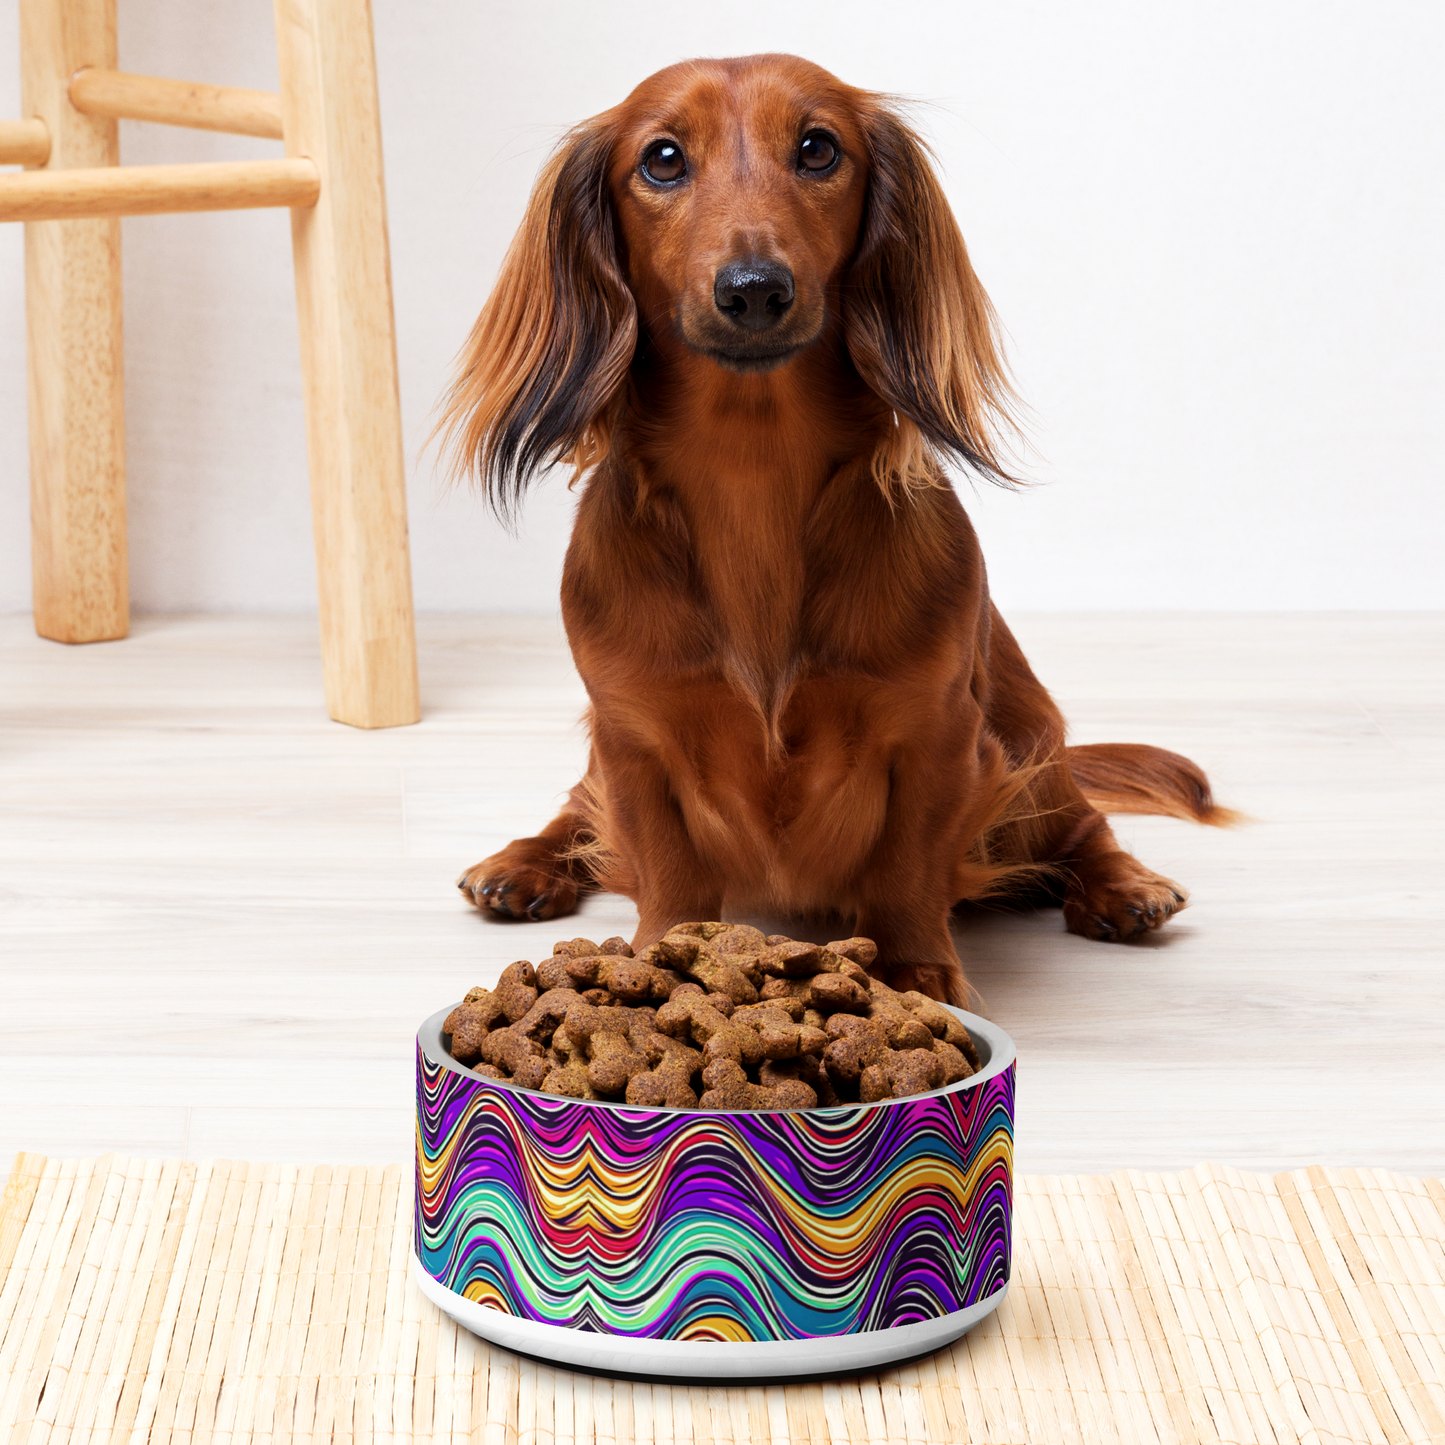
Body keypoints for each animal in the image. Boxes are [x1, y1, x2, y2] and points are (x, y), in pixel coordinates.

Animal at [436, 56, 1231, 1005]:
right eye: (661, 159)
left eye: (818, 148)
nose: (753, 290)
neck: (752, 473)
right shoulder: (632, 735)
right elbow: (664, 864)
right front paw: (660, 958)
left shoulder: (937, 733)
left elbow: (906, 866)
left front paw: (916, 971)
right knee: (576, 810)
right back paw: (523, 863)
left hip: (1028, 744)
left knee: (1081, 823)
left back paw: (1123, 885)